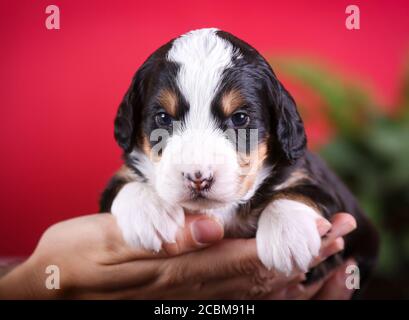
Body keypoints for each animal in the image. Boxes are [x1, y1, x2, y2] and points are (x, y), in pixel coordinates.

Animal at [99, 28, 380, 288]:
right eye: (163, 118)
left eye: (240, 118)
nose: (198, 178)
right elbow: (125, 182)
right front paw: (150, 212)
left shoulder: (323, 185)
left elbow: (298, 192)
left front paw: (287, 235)